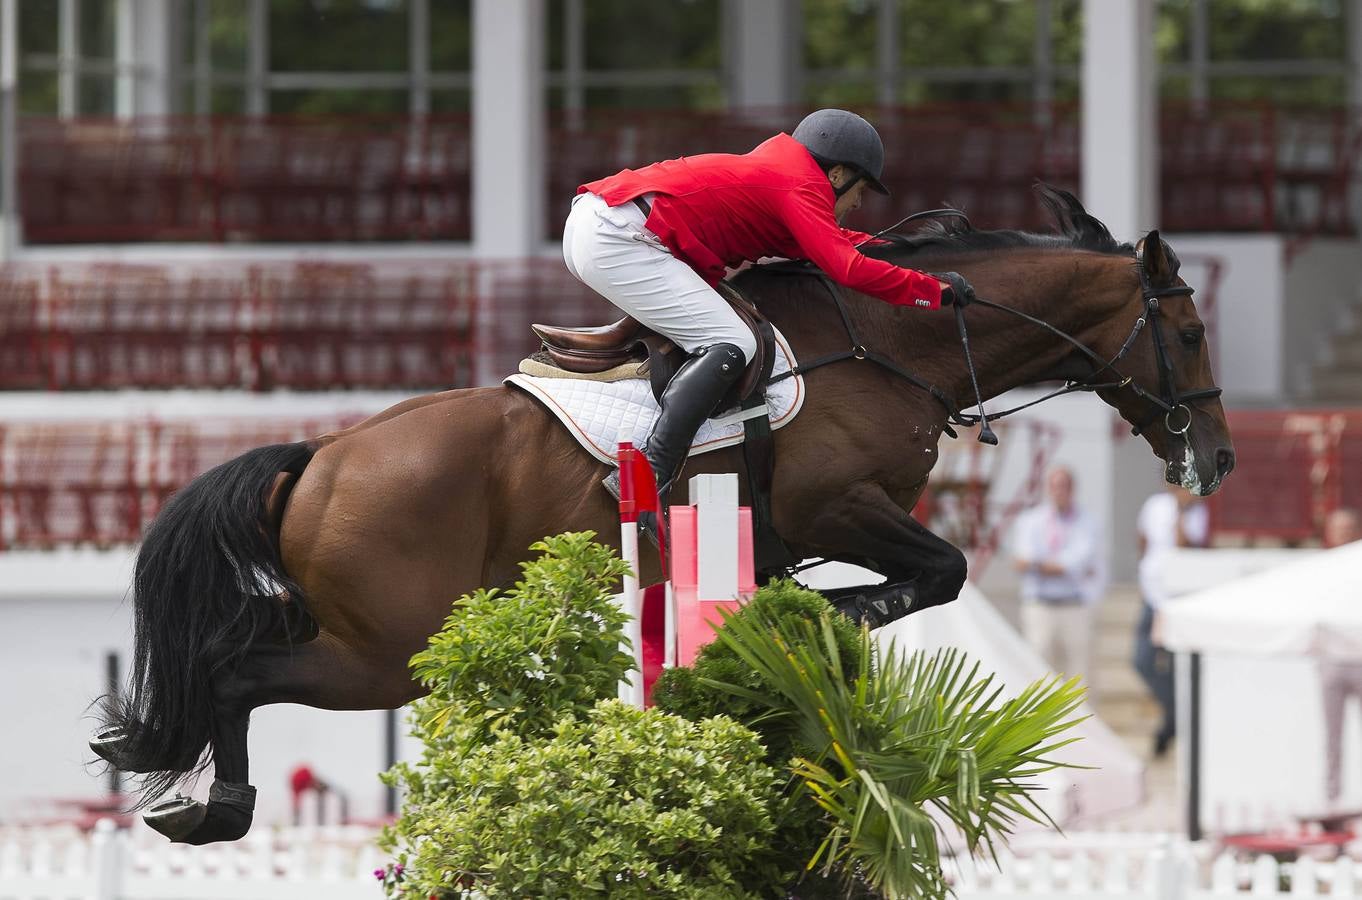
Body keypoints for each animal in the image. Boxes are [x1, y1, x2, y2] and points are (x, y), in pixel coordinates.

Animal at [87, 183, 1236, 844]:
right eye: (1186, 329)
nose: (1217, 459)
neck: (889, 346)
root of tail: (321, 457)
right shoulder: (839, 507)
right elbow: (940, 572)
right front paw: (838, 615)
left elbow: (907, 584)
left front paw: (803, 629)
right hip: (387, 650)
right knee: (236, 675)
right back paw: (215, 813)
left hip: (361, 630)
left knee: (232, 662)